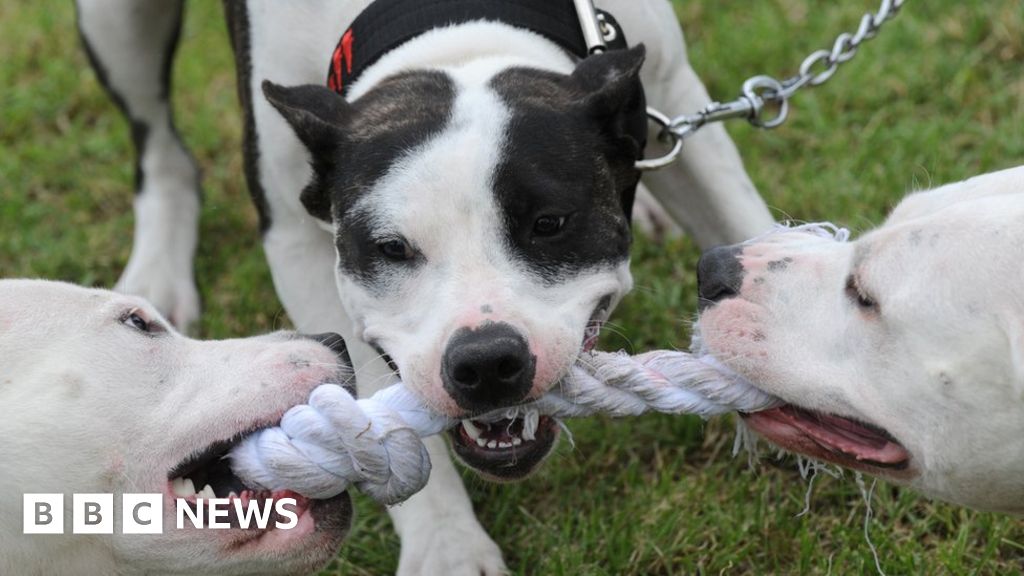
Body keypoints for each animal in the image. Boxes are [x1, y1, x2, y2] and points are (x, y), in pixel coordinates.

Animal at [75, 1, 770, 569]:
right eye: (390, 249)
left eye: (549, 224)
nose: (486, 362)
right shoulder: (296, 239)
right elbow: (367, 409)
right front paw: (449, 548)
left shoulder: (678, 103)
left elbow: (747, 224)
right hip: (113, 21)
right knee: (158, 147)